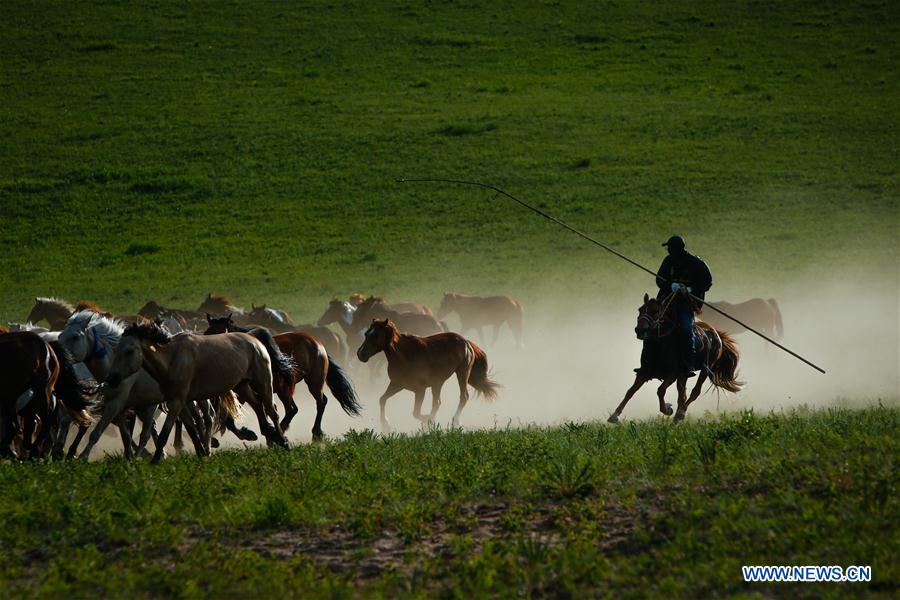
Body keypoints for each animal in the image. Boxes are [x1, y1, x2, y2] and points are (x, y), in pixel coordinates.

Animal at [107, 322, 286, 462]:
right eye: (116, 350)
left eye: (129, 351)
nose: (112, 379)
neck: (172, 359)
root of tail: (254, 339)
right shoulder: (181, 402)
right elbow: (191, 428)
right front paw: (201, 452)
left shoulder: (176, 402)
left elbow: (166, 432)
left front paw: (156, 459)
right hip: (241, 386)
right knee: (258, 405)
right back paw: (268, 433)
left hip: (262, 382)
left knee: (272, 410)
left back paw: (283, 441)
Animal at [206, 314, 360, 440]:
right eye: (207, 333)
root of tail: (318, 343)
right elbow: (229, 419)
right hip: (285, 389)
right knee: (295, 408)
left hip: (311, 382)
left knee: (317, 403)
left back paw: (314, 432)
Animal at [356, 318, 500, 432]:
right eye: (366, 333)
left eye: (375, 335)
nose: (360, 354)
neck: (404, 355)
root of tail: (466, 342)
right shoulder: (397, 384)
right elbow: (382, 399)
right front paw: (386, 425)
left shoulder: (420, 390)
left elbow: (416, 413)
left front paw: (428, 421)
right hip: (438, 383)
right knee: (437, 402)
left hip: (462, 373)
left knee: (463, 397)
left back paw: (455, 421)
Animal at [608, 292, 740, 424]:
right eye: (640, 309)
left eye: (656, 311)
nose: (640, 330)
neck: (660, 346)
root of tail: (717, 335)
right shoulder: (644, 372)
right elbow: (630, 391)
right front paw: (614, 415)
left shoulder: (673, 373)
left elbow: (660, 390)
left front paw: (667, 409)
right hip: (684, 375)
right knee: (682, 395)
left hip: (706, 369)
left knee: (694, 392)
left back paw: (680, 413)